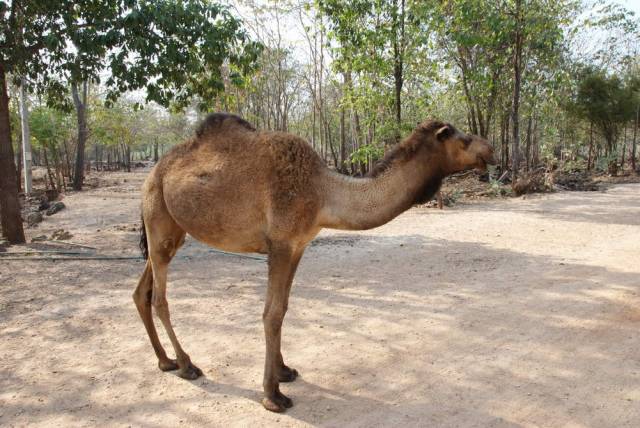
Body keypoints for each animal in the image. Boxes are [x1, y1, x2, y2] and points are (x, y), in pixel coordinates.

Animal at [134, 113, 496, 412]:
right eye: (461, 138)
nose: (490, 149)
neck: (324, 192)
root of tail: (153, 171)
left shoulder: (298, 246)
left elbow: (282, 308)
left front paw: (284, 371)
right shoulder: (280, 244)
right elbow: (271, 313)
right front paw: (273, 395)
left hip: (171, 229)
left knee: (142, 291)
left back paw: (165, 361)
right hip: (158, 217)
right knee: (160, 297)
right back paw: (186, 365)